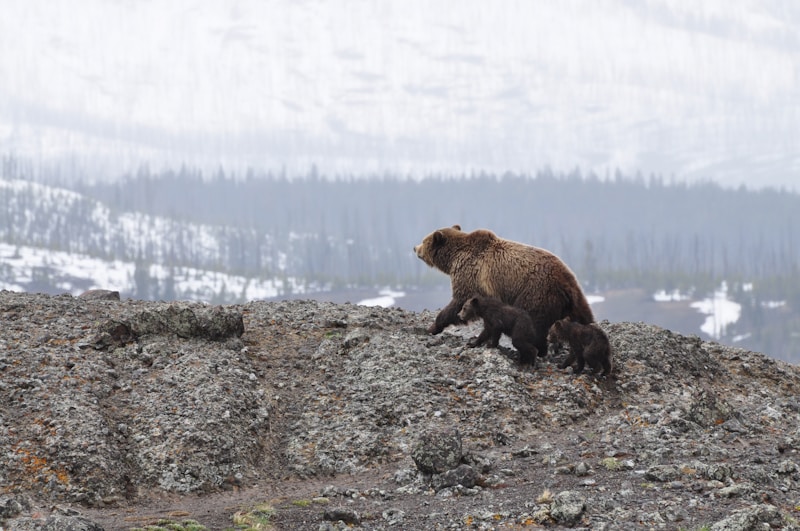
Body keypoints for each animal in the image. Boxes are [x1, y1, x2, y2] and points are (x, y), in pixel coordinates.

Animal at [413, 225, 594, 357]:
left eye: (424, 240)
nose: (415, 247)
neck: (453, 259)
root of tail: (566, 282)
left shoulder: (470, 275)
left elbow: (459, 302)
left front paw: (433, 327)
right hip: (575, 299)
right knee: (584, 318)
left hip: (536, 292)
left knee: (533, 323)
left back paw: (536, 350)